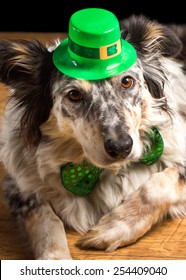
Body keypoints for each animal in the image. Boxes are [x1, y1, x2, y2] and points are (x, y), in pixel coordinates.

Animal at [0, 13, 186, 260]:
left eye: (127, 81)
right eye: (74, 95)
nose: (121, 147)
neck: (100, 172)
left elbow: (156, 186)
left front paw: (112, 229)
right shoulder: (21, 185)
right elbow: (46, 222)